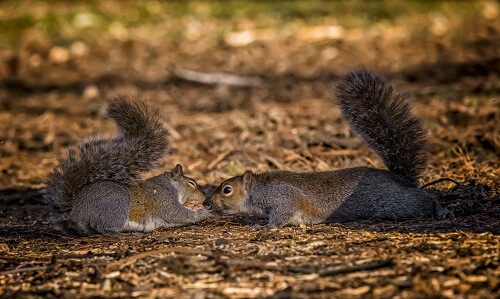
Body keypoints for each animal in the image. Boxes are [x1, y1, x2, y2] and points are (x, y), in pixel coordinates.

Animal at [45, 97, 211, 236]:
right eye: (191, 183)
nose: (204, 198)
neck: (170, 186)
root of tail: (74, 210)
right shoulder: (164, 200)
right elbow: (178, 214)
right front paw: (204, 213)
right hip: (116, 205)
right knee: (103, 228)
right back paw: (125, 234)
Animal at [207, 69, 454, 227]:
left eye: (227, 189)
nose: (207, 202)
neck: (259, 190)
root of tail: (400, 179)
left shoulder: (284, 200)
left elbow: (280, 217)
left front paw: (263, 227)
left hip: (395, 203)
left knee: (425, 197)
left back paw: (442, 210)